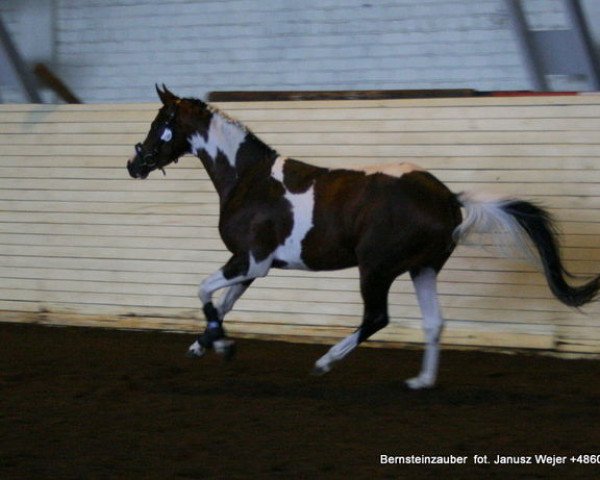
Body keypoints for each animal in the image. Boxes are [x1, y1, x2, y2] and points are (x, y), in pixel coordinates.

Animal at [127, 86, 600, 390]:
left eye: (161, 121)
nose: (135, 164)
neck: (249, 180)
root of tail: (448, 198)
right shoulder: (253, 267)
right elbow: (222, 303)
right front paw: (209, 345)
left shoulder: (249, 260)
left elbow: (204, 291)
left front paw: (218, 345)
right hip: (422, 268)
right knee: (434, 322)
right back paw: (421, 381)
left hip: (376, 269)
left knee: (376, 318)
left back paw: (325, 362)